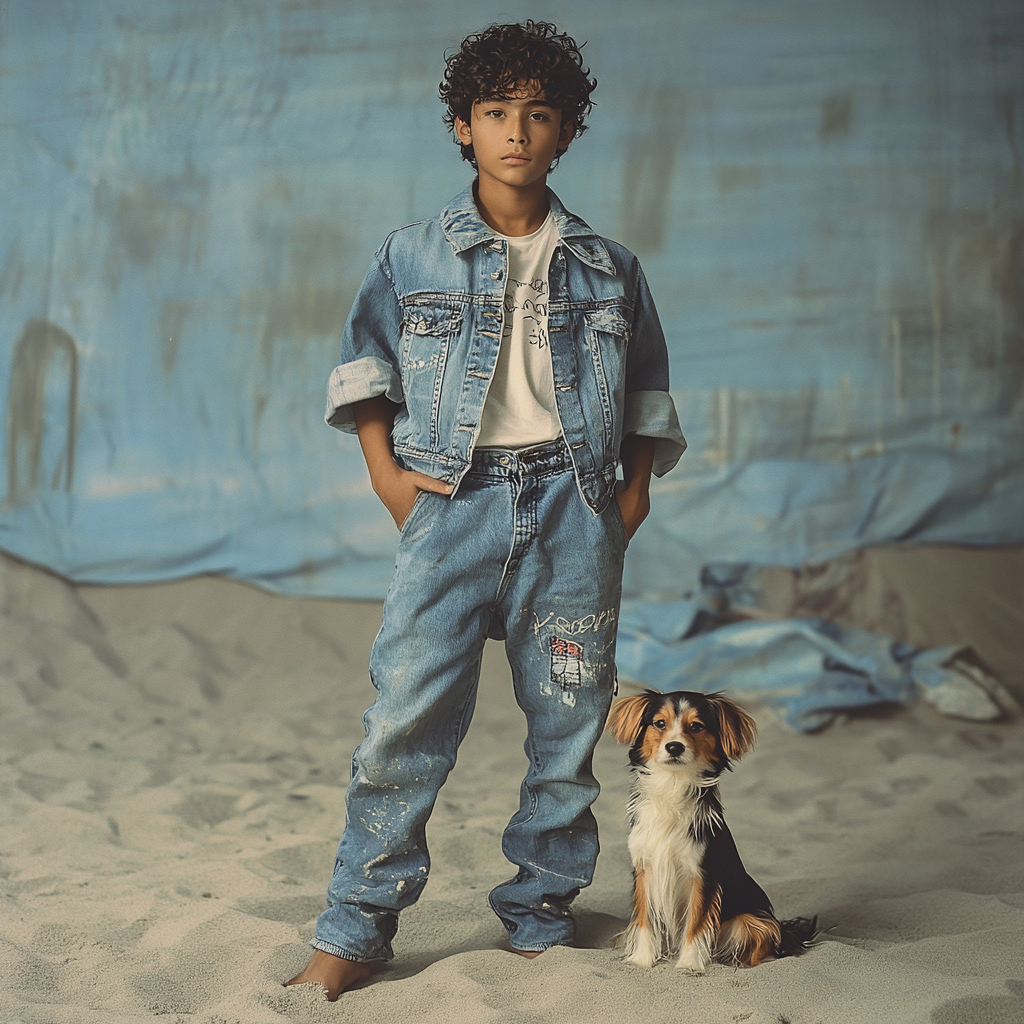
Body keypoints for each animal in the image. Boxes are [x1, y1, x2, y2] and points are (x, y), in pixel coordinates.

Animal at [606, 688, 815, 966]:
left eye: (696, 726)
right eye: (659, 724)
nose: (674, 746)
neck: (673, 784)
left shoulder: (702, 875)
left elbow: (696, 922)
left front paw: (689, 964)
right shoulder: (644, 869)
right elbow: (644, 920)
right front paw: (642, 959)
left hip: (752, 919)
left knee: (763, 943)